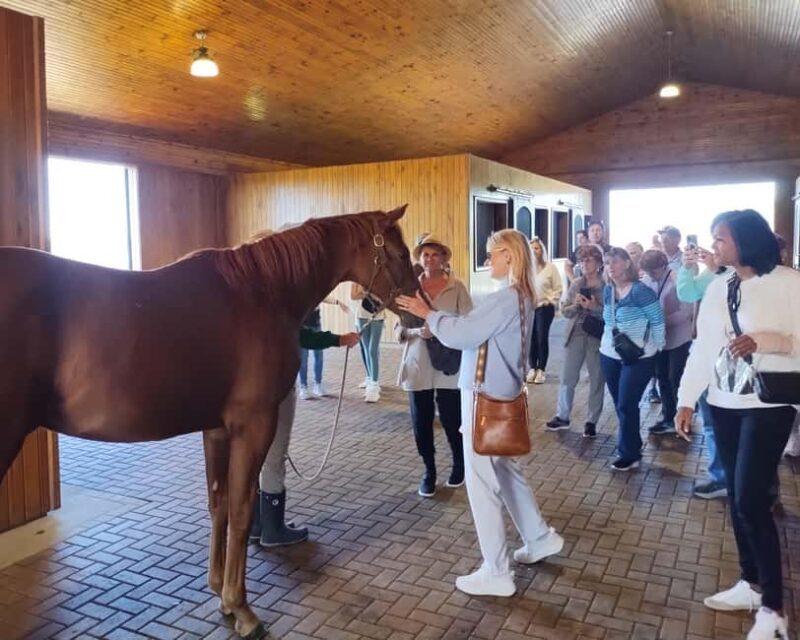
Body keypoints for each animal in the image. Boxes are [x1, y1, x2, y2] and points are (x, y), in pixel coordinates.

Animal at [0, 205, 418, 638]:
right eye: (401, 253)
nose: (413, 315)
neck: (262, 292)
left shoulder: (216, 430)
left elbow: (219, 503)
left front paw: (220, 590)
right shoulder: (253, 426)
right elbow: (242, 509)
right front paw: (242, 608)